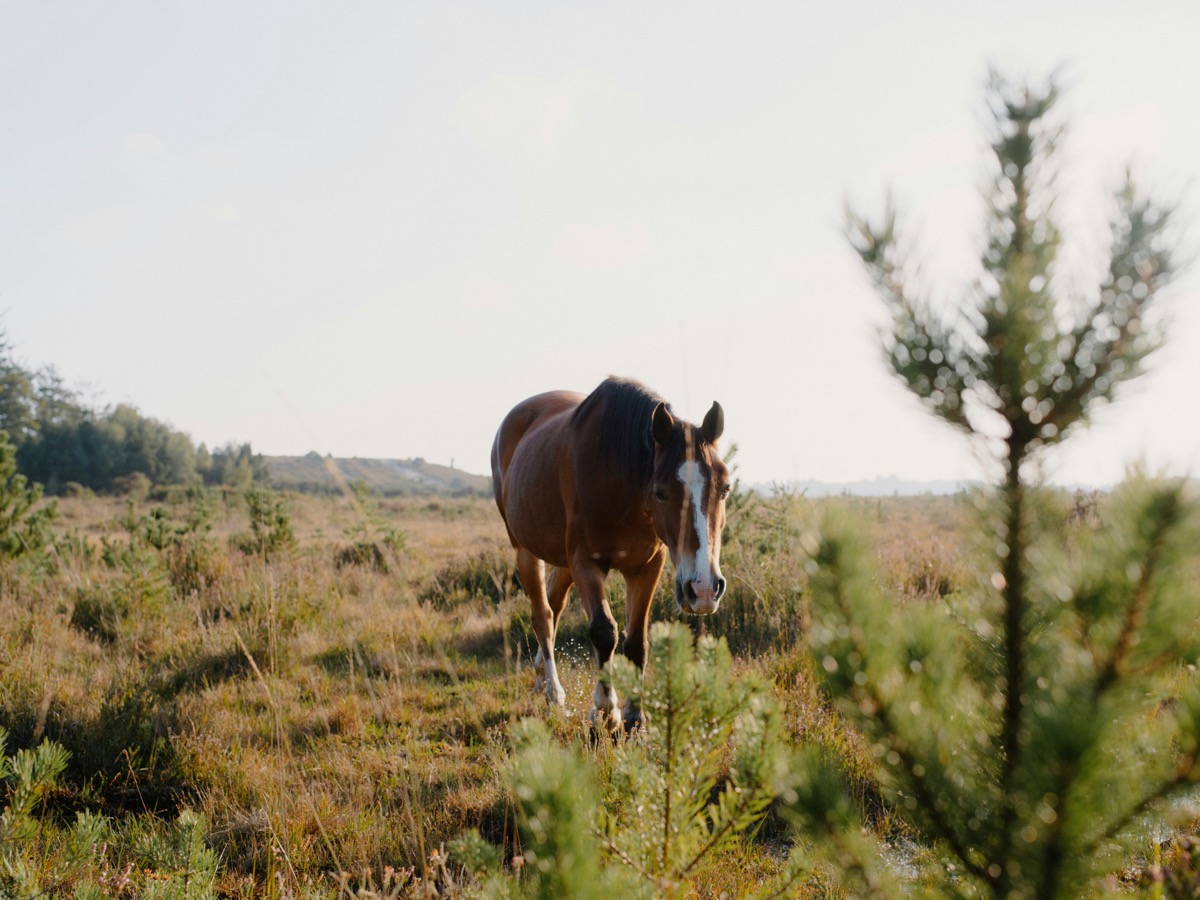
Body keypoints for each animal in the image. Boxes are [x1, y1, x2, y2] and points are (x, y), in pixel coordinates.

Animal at [491, 376, 731, 731]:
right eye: (661, 492)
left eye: (725, 488)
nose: (703, 590)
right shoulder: (586, 563)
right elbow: (604, 631)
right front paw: (606, 709)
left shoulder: (647, 567)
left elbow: (636, 640)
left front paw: (636, 715)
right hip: (525, 551)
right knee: (543, 615)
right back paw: (554, 691)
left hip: (563, 561)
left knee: (555, 604)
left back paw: (540, 677)